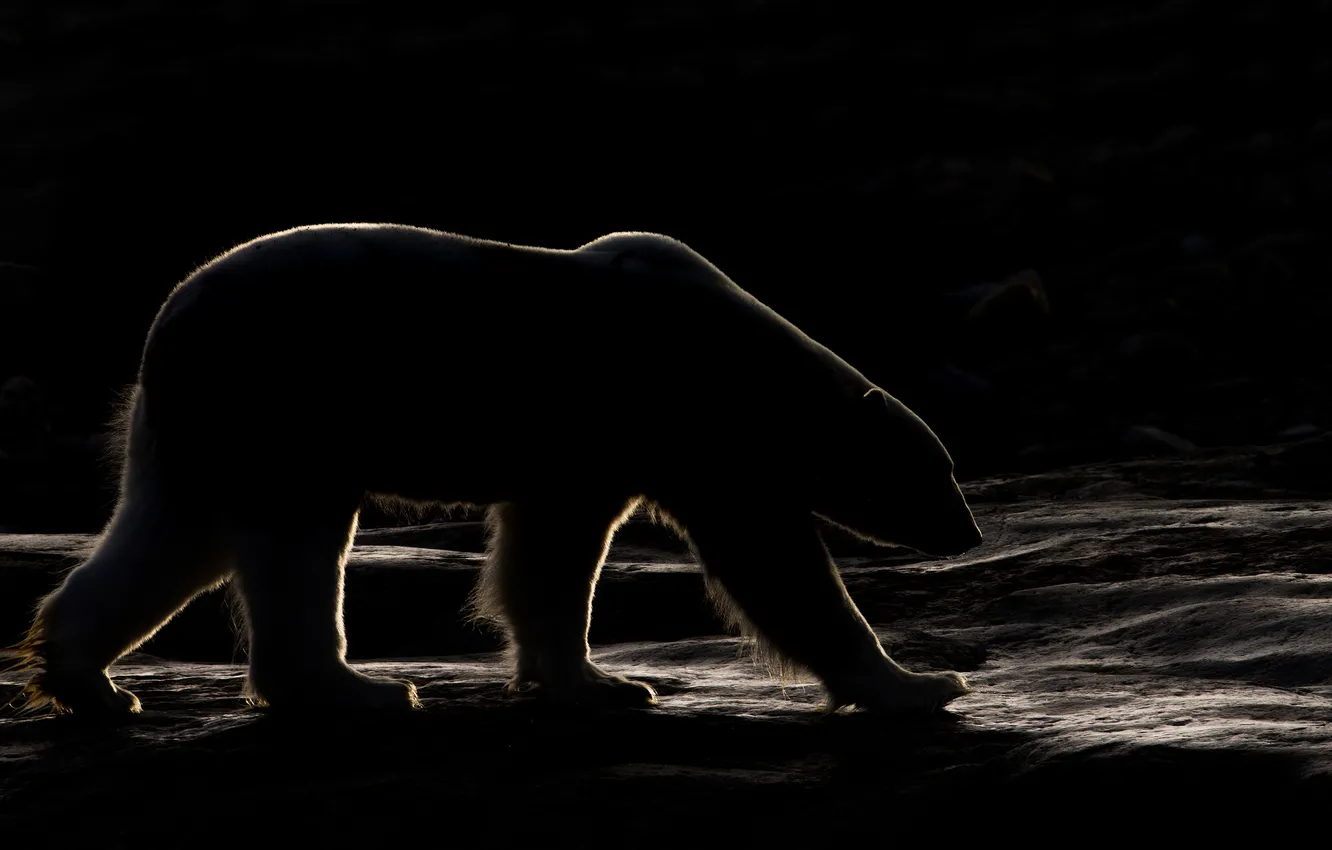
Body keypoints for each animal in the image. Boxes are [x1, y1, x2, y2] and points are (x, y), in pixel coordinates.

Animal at [2, 224, 984, 718]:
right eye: (940, 472)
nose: (969, 531)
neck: (744, 356)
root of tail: (169, 319)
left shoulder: (590, 452)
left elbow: (548, 555)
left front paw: (598, 681)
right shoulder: (680, 421)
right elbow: (773, 563)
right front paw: (920, 685)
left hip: (202, 427)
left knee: (170, 536)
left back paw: (88, 679)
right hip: (289, 396)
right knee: (293, 545)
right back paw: (357, 689)